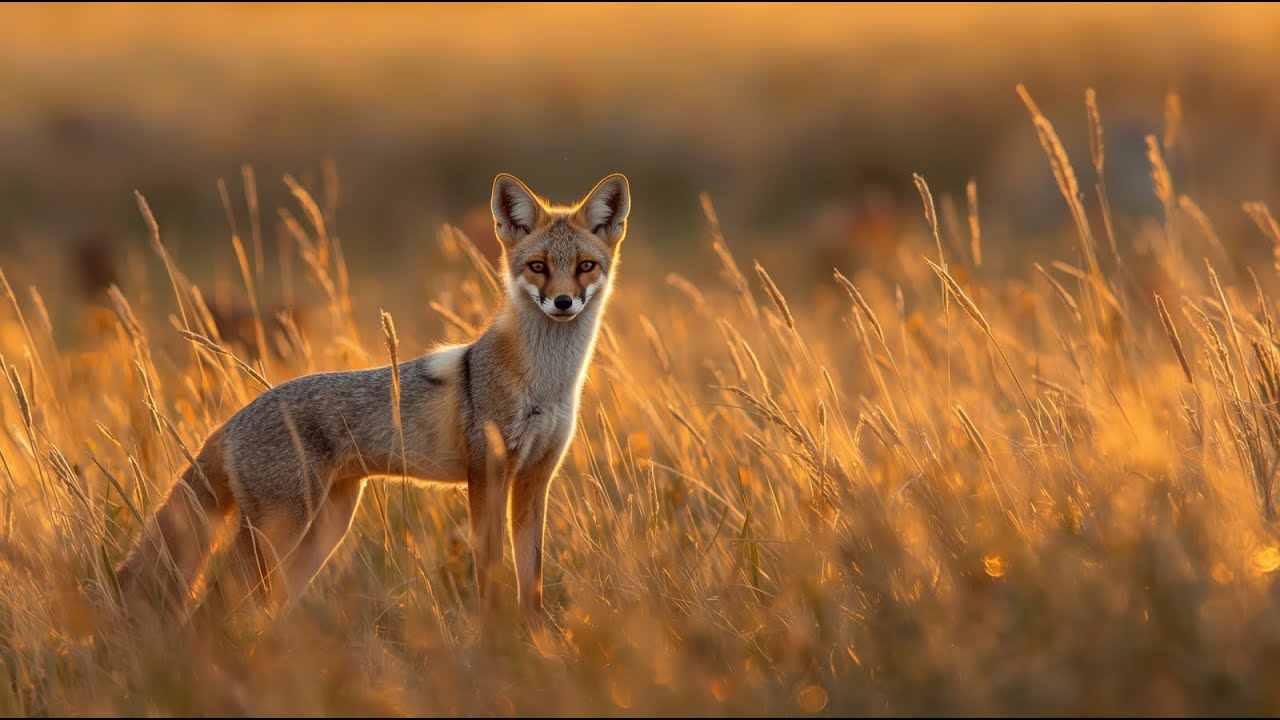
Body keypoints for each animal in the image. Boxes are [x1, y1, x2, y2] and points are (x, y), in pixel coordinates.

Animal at [115, 173, 631, 631]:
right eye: (538, 266)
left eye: (585, 266)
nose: (563, 302)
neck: (547, 384)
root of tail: (229, 422)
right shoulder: (487, 474)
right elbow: (491, 573)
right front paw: (495, 642)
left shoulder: (534, 479)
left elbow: (532, 582)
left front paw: (537, 647)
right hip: (283, 531)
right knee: (211, 607)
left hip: (324, 532)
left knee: (265, 605)